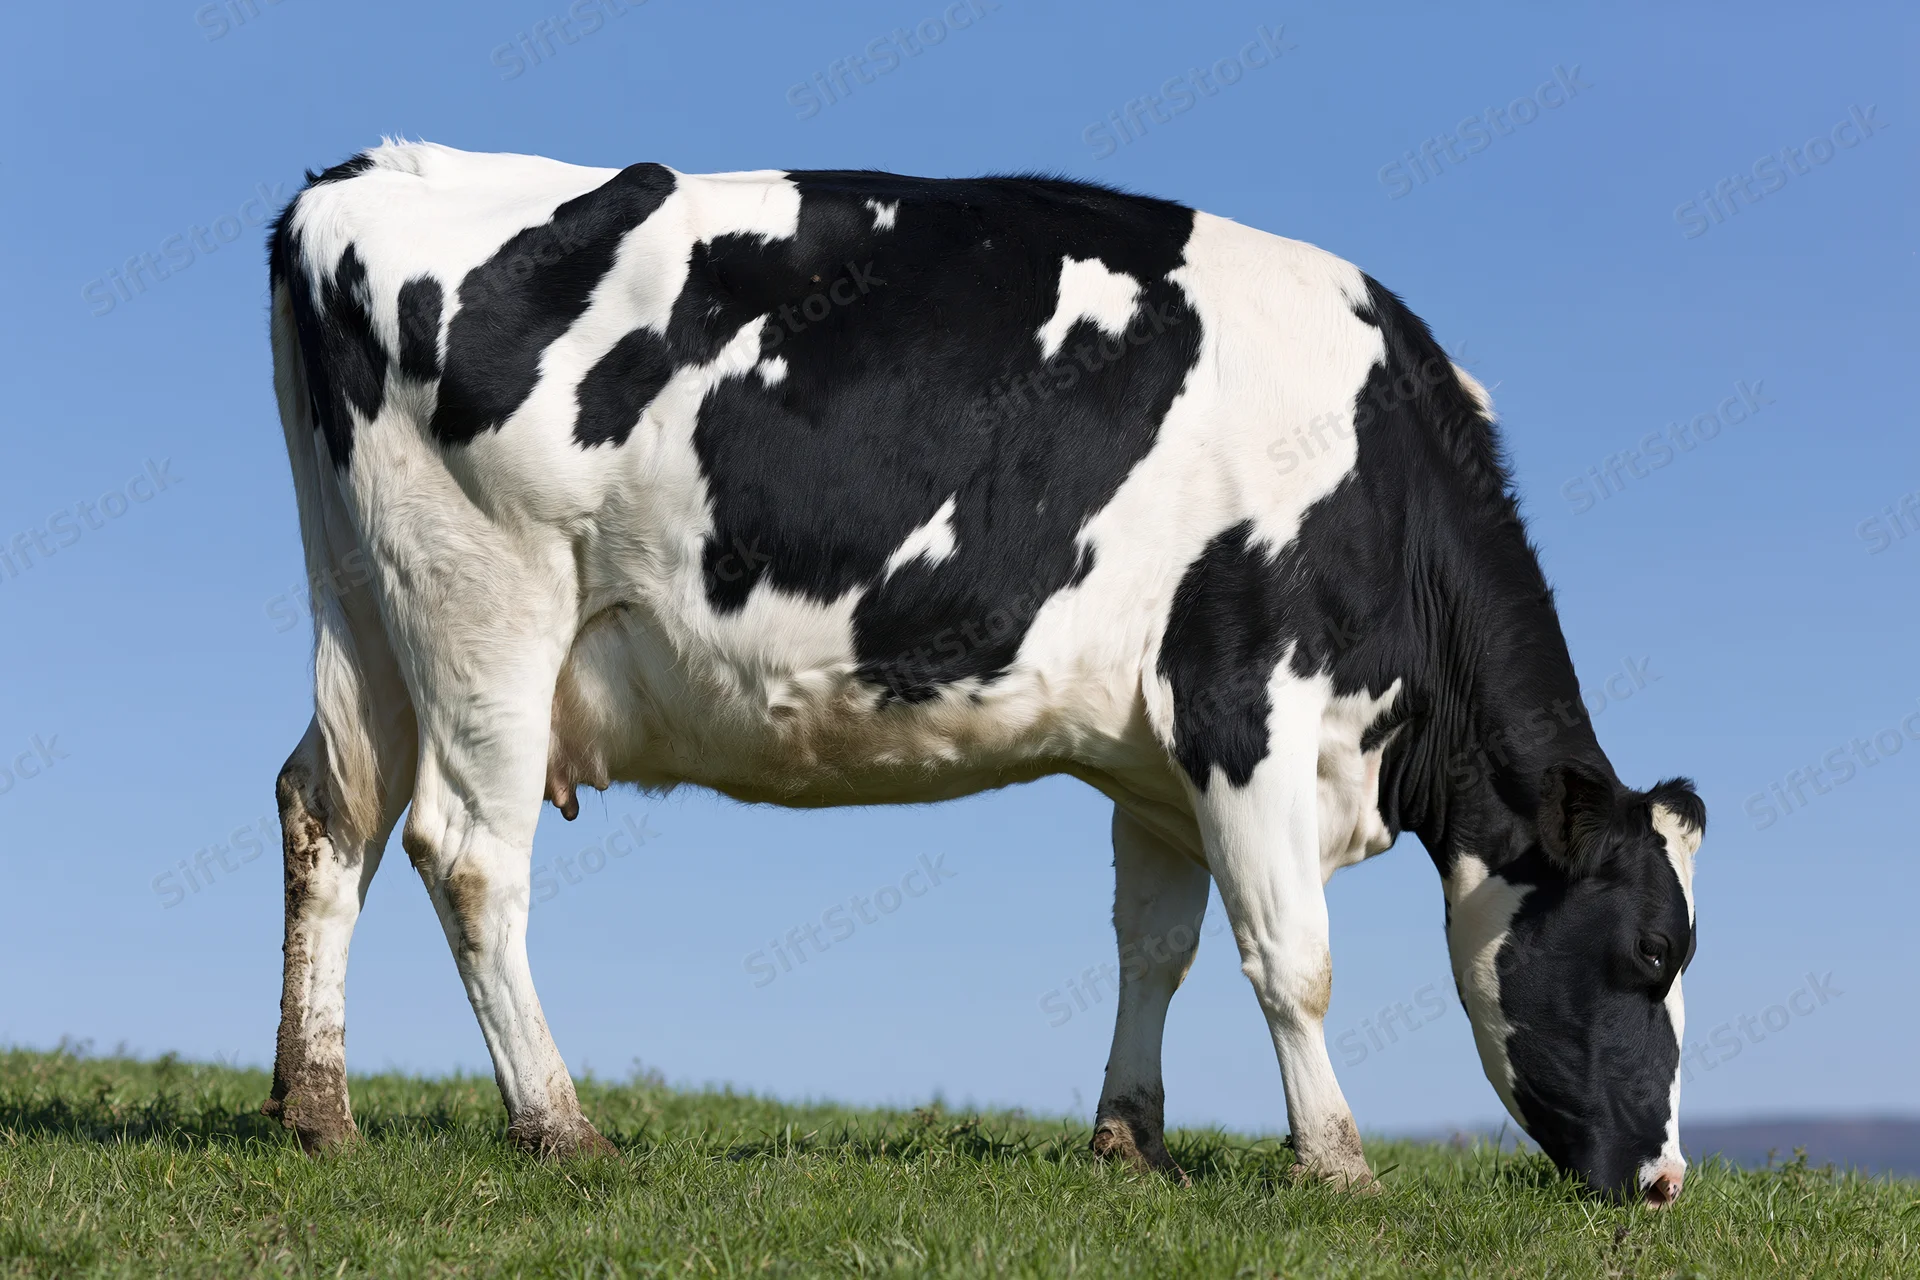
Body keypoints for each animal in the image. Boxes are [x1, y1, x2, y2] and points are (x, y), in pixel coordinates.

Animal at [261, 141, 1704, 1205]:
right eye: (1651, 949)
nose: (1664, 1181)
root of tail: (365, 173)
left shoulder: (1156, 759)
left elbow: (1157, 946)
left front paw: (1131, 1140)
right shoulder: (1243, 693)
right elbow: (1292, 954)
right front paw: (1337, 1163)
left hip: (365, 602)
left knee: (328, 807)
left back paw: (317, 1108)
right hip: (487, 602)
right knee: (467, 852)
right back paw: (558, 1125)